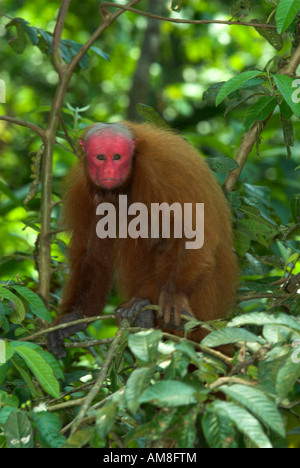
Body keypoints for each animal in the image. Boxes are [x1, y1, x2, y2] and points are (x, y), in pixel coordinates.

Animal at [47, 121, 239, 358]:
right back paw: (143, 314)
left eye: (117, 157)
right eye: (101, 157)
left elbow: (194, 235)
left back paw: (144, 307)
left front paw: (174, 294)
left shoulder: (163, 170)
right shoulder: (84, 190)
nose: (108, 171)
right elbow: (93, 253)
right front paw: (76, 316)